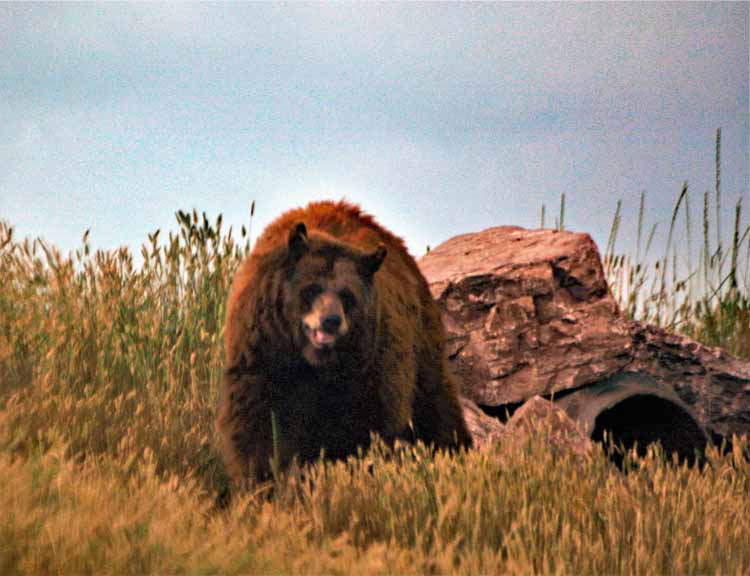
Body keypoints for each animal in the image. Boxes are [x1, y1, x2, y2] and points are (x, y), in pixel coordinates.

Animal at [216, 200, 471, 488]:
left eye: (347, 296)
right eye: (312, 288)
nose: (331, 320)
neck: (313, 363)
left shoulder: (369, 366)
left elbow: (367, 427)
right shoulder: (264, 351)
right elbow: (257, 424)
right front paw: (261, 480)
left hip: (423, 346)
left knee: (436, 406)